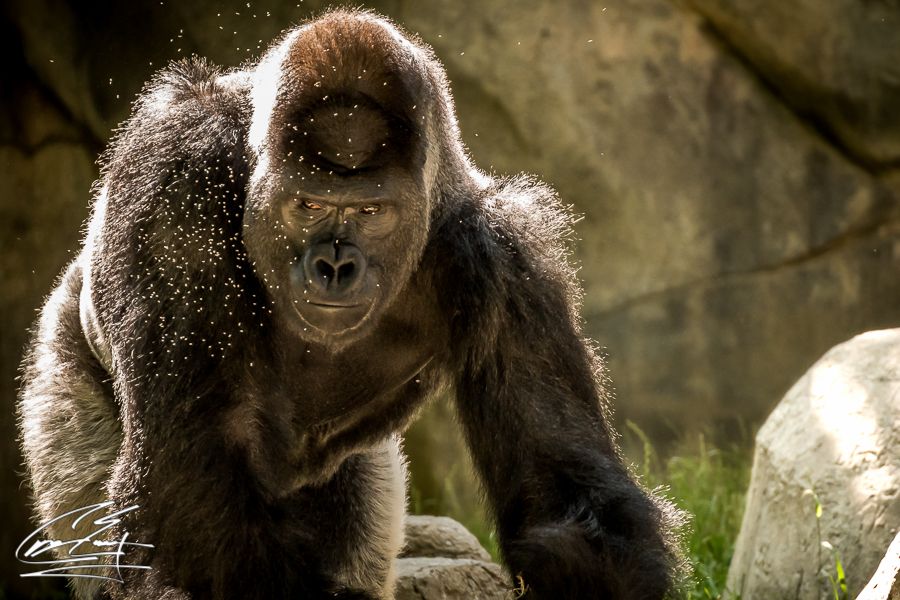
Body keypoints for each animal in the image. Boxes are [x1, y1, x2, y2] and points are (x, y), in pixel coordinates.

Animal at [17, 9, 683, 600]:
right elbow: (190, 470)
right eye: (309, 205)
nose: (334, 268)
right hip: (63, 369)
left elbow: (562, 493)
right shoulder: (174, 181)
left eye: (370, 211)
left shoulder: (511, 259)